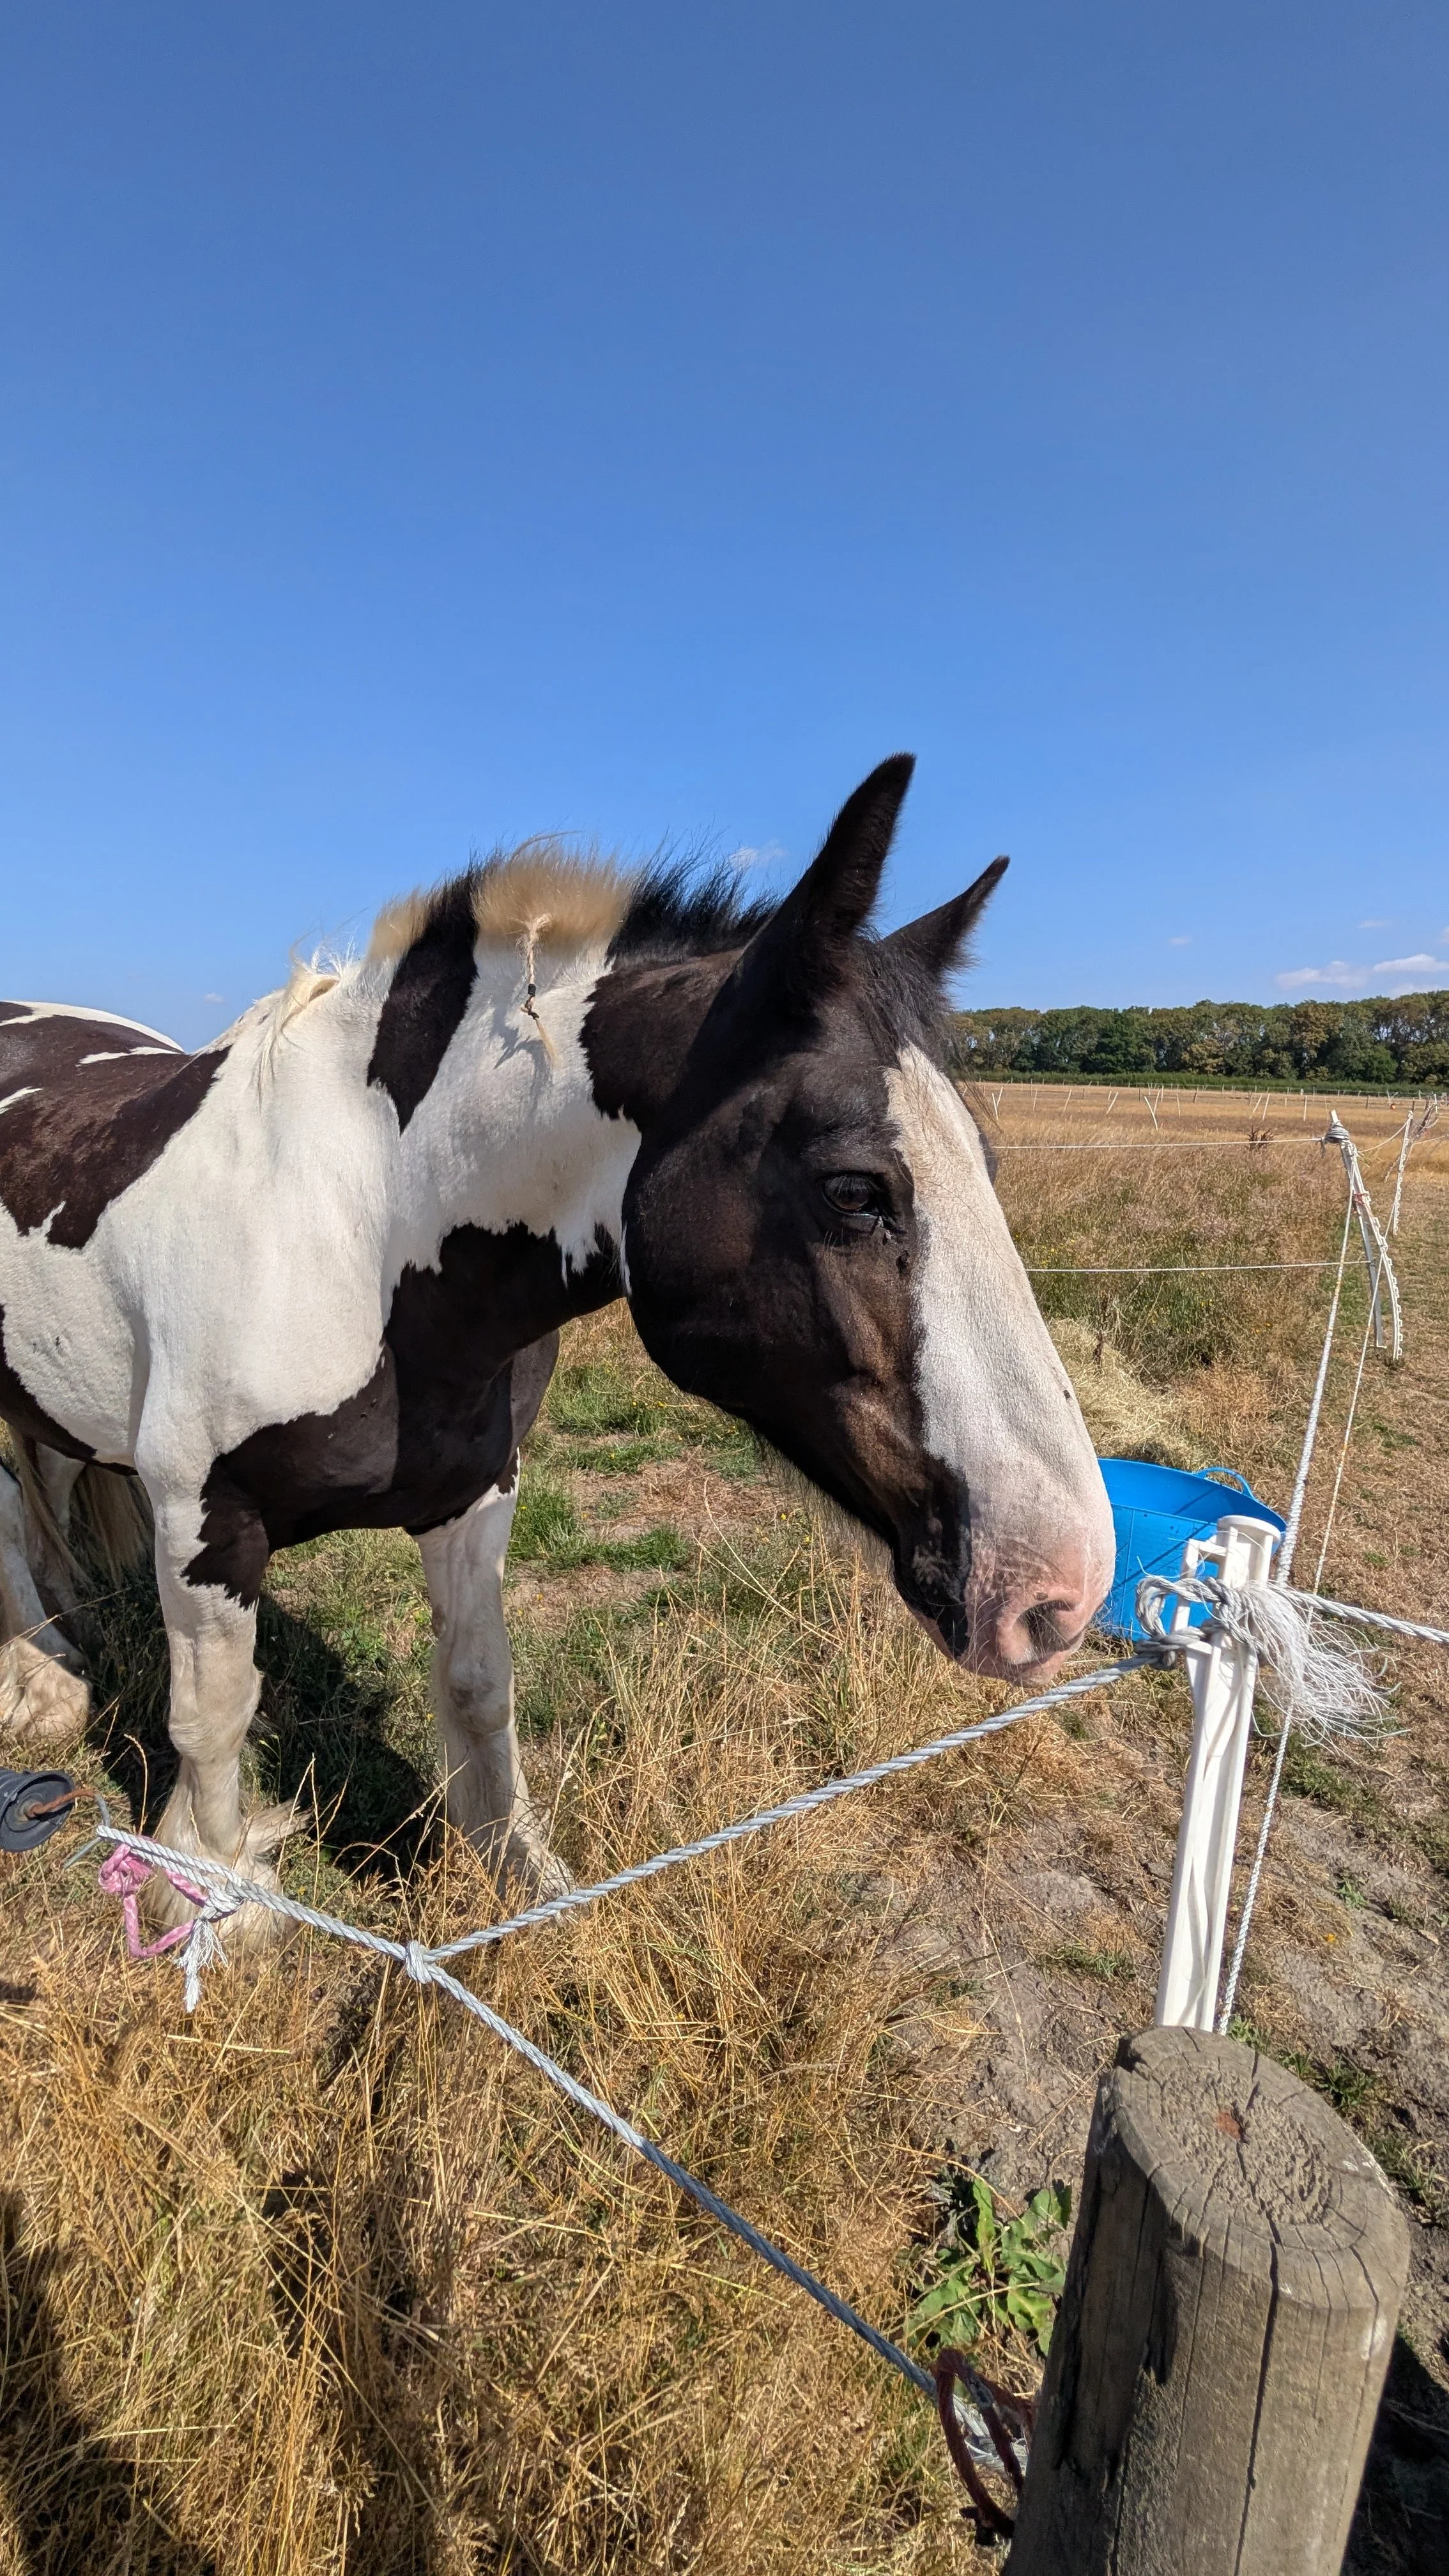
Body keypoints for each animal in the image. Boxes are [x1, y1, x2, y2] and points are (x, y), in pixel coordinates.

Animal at [0, 756, 1113, 1946]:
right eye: (854, 1189)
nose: (1059, 1591)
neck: (357, 1226)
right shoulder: (205, 1519)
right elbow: (212, 1717)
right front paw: (207, 1895)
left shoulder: (475, 1493)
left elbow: (477, 1685)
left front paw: (518, 1879)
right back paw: (43, 1681)